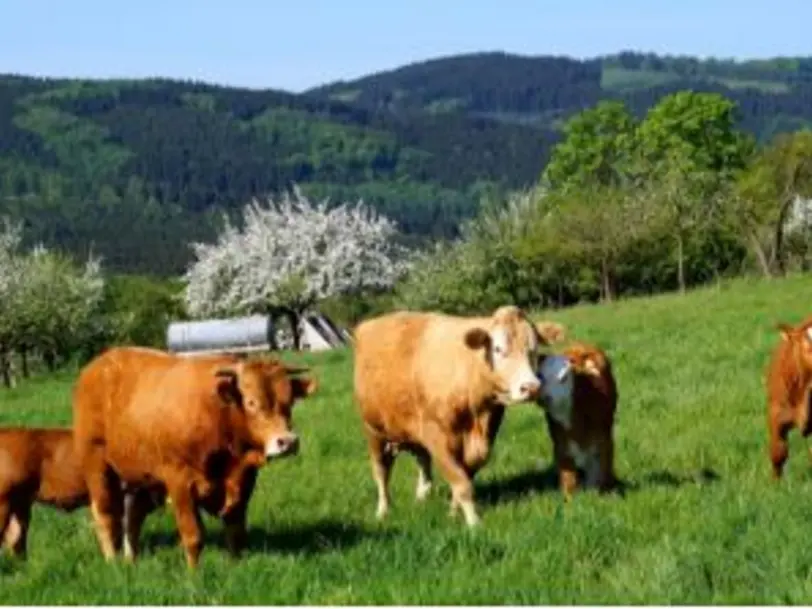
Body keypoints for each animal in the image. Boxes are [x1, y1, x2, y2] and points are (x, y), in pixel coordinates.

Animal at [72, 346, 318, 564]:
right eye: (251, 402)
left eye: (290, 401)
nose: (287, 441)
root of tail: (101, 363)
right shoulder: (180, 482)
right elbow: (193, 537)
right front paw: (194, 575)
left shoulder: (244, 481)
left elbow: (235, 533)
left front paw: (235, 567)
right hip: (96, 464)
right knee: (105, 515)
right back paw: (112, 562)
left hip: (140, 476)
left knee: (132, 518)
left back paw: (131, 560)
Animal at [352, 306, 568, 524]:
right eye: (498, 349)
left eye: (533, 349)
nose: (531, 387)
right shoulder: (437, 436)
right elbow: (460, 481)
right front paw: (474, 522)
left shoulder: (484, 439)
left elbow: (465, 474)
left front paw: (453, 511)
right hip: (373, 431)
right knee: (381, 472)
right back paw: (383, 510)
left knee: (422, 460)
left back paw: (422, 495)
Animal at [536, 342, 620, 498]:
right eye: (541, 376)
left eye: (564, 378)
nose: (544, 397)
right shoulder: (561, 443)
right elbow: (568, 475)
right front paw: (569, 498)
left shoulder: (604, 440)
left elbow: (601, 470)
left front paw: (601, 492)